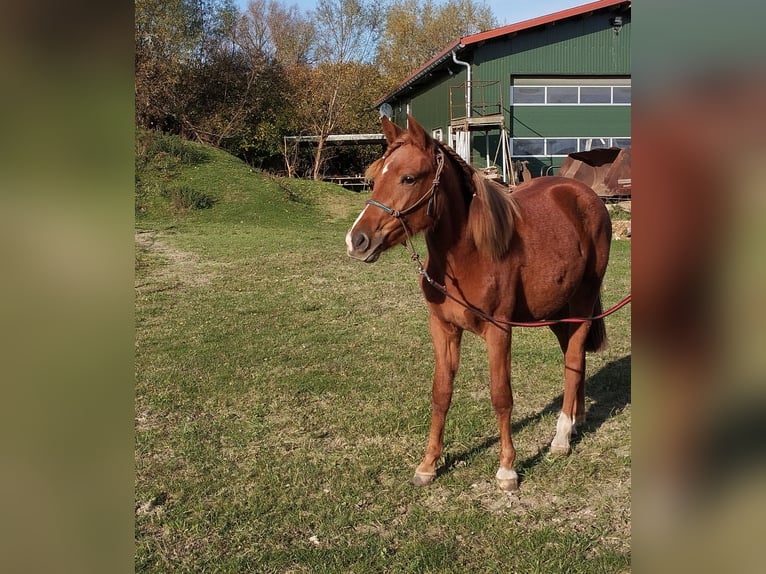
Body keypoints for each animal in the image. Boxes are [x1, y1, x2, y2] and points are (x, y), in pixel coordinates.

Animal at [348, 115, 612, 492]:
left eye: (409, 178)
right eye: (374, 178)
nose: (357, 240)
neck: (469, 255)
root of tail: (586, 195)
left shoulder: (499, 332)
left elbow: (502, 397)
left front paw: (507, 470)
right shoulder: (443, 329)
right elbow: (441, 393)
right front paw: (428, 465)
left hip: (582, 302)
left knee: (574, 357)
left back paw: (562, 437)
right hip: (556, 311)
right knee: (573, 360)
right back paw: (576, 421)